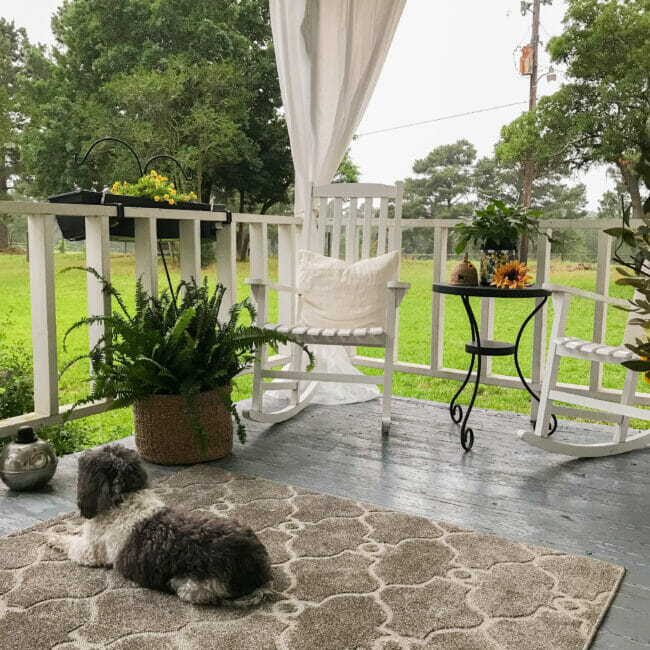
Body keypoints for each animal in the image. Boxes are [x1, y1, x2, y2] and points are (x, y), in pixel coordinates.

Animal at [47, 442, 270, 604]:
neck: (125, 498)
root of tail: (255, 563)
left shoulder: (90, 552)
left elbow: (69, 542)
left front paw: (53, 537)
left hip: (192, 586)